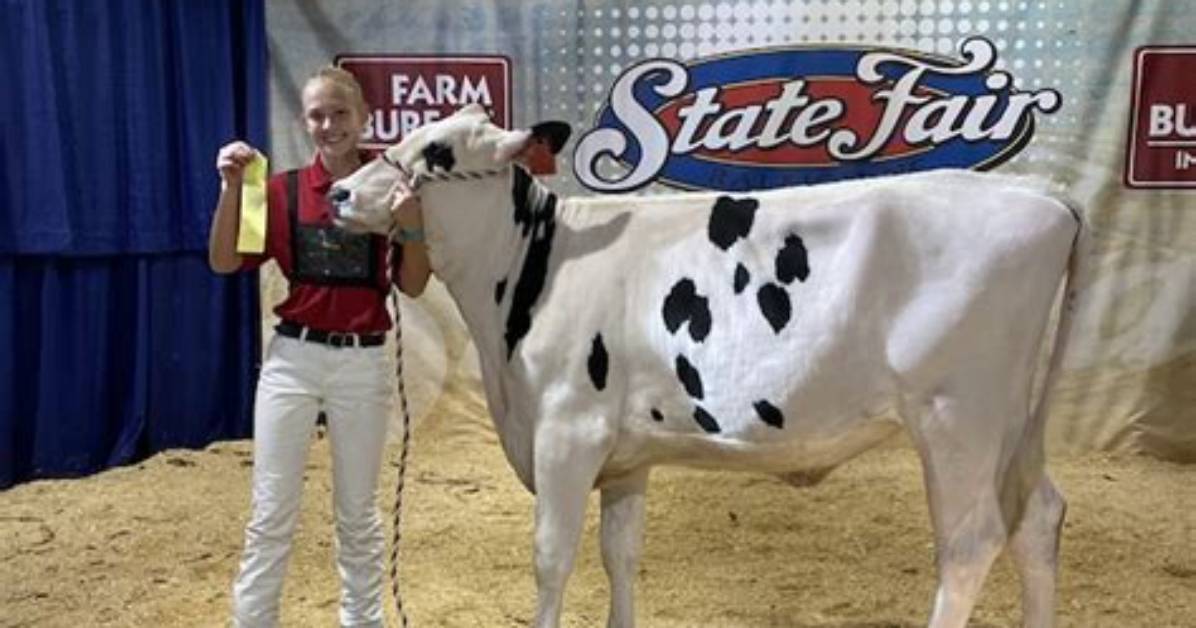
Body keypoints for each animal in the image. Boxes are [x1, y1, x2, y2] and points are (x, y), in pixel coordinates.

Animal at [328, 104, 1081, 628]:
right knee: (1038, 519)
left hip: (958, 415)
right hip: (1012, 420)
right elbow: (620, 554)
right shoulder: (626, 455)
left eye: (435, 151)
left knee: (971, 542)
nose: (338, 193)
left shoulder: (567, 432)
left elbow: (552, 557)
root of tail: (1045, 197)